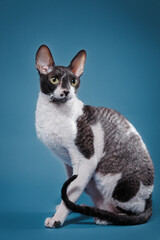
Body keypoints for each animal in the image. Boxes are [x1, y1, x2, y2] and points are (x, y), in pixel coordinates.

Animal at [35, 44, 154, 227]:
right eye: (54, 80)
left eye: (73, 81)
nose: (66, 92)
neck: (52, 112)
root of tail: (150, 201)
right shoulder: (69, 162)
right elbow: (70, 190)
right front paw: (64, 209)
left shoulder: (86, 160)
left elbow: (70, 191)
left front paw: (57, 219)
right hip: (92, 181)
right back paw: (89, 209)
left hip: (114, 184)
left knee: (131, 212)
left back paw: (105, 218)